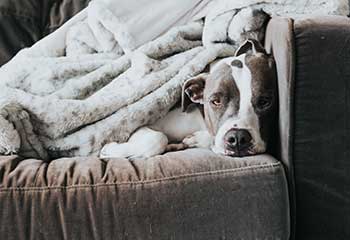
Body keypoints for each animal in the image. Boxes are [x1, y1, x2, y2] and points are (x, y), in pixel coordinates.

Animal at [100, 39, 278, 159]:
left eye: (265, 102)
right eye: (216, 101)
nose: (238, 139)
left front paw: (196, 139)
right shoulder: (143, 124)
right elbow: (158, 139)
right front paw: (110, 149)